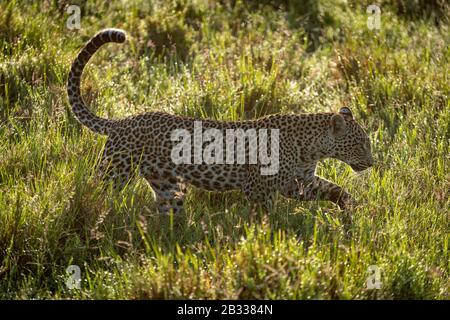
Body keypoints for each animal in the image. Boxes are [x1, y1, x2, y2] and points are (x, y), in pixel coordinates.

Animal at [67, 29, 374, 215]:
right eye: (360, 143)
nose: (372, 163)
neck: (311, 147)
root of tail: (121, 122)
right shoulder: (259, 189)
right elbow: (266, 218)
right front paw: (268, 241)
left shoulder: (299, 183)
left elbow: (334, 189)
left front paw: (351, 209)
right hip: (114, 171)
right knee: (93, 191)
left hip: (167, 186)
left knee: (168, 212)